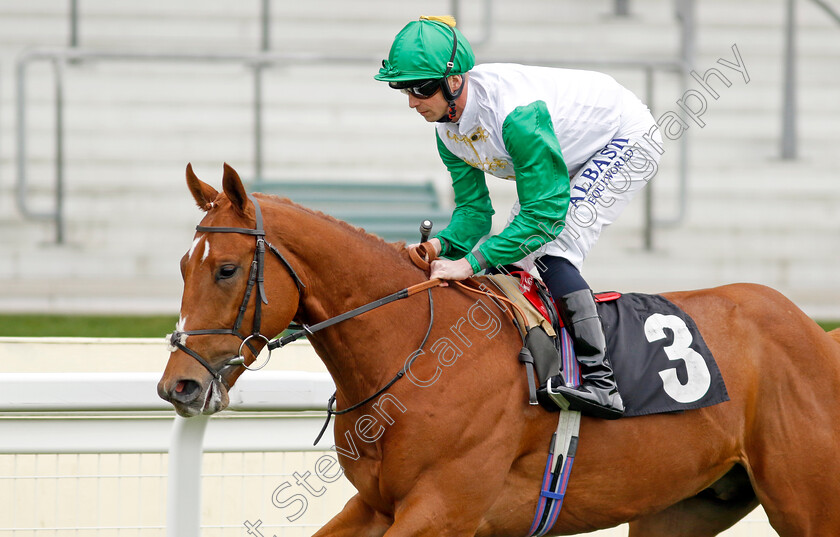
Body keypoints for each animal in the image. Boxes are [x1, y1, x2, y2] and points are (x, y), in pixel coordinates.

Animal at [158, 164, 840, 536]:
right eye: (183, 268)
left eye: (225, 269)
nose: (178, 386)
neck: (414, 353)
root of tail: (816, 335)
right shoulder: (377, 505)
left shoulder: (443, 511)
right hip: (680, 507)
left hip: (808, 504)